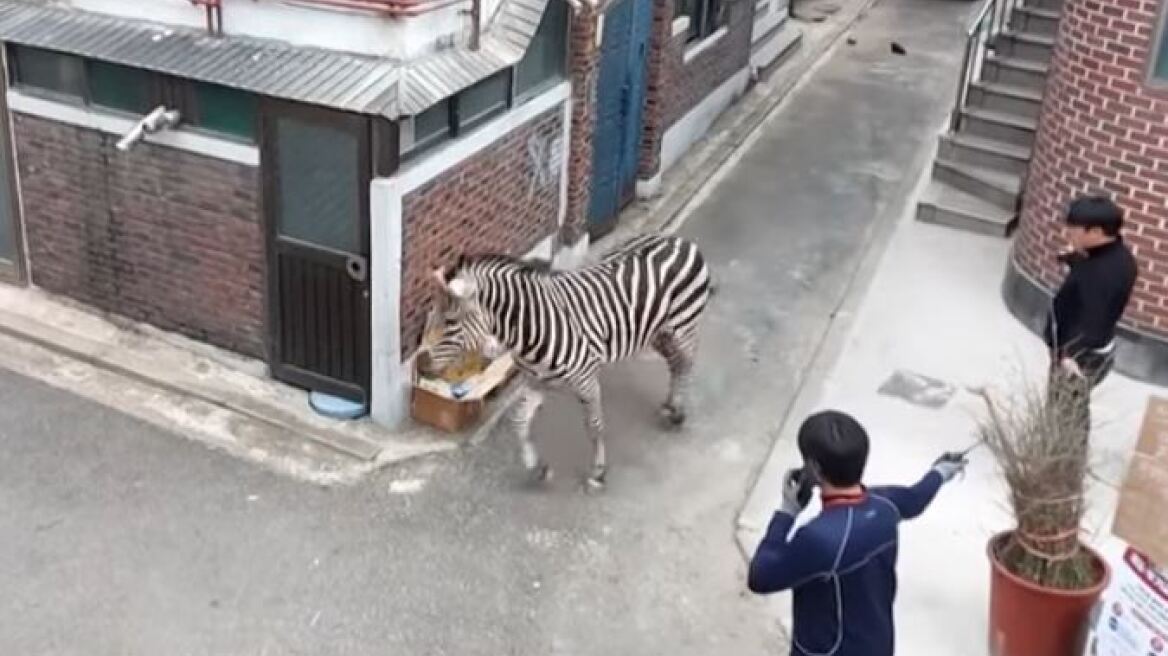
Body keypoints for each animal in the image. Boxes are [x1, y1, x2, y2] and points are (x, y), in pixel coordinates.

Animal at [415, 232, 714, 487]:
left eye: (450, 321)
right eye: (432, 316)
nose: (420, 365)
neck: (530, 332)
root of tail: (680, 241)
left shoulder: (587, 381)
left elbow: (594, 426)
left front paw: (598, 472)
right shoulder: (535, 381)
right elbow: (520, 422)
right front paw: (536, 466)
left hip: (684, 327)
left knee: (687, 364)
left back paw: (679, 412)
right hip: (657, 333)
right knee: (675, 364)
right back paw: (671, 405)